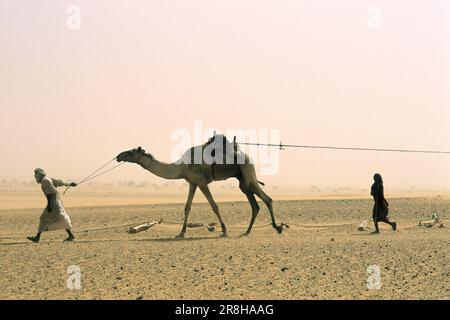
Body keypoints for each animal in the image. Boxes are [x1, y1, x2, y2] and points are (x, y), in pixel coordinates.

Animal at [116, 134, 282, 238]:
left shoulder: (201, 182)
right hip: (242, 179)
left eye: (131, 152)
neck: (182, 166)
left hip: (247, 172)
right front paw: (181, 233)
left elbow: (214, 206)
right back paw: (247, 232)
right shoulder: (192, 182)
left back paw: (278, 227)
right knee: (255, 205)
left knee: (267, 199)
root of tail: (247, 157)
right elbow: (187, 207)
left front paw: (224, 231)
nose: (118, 156)